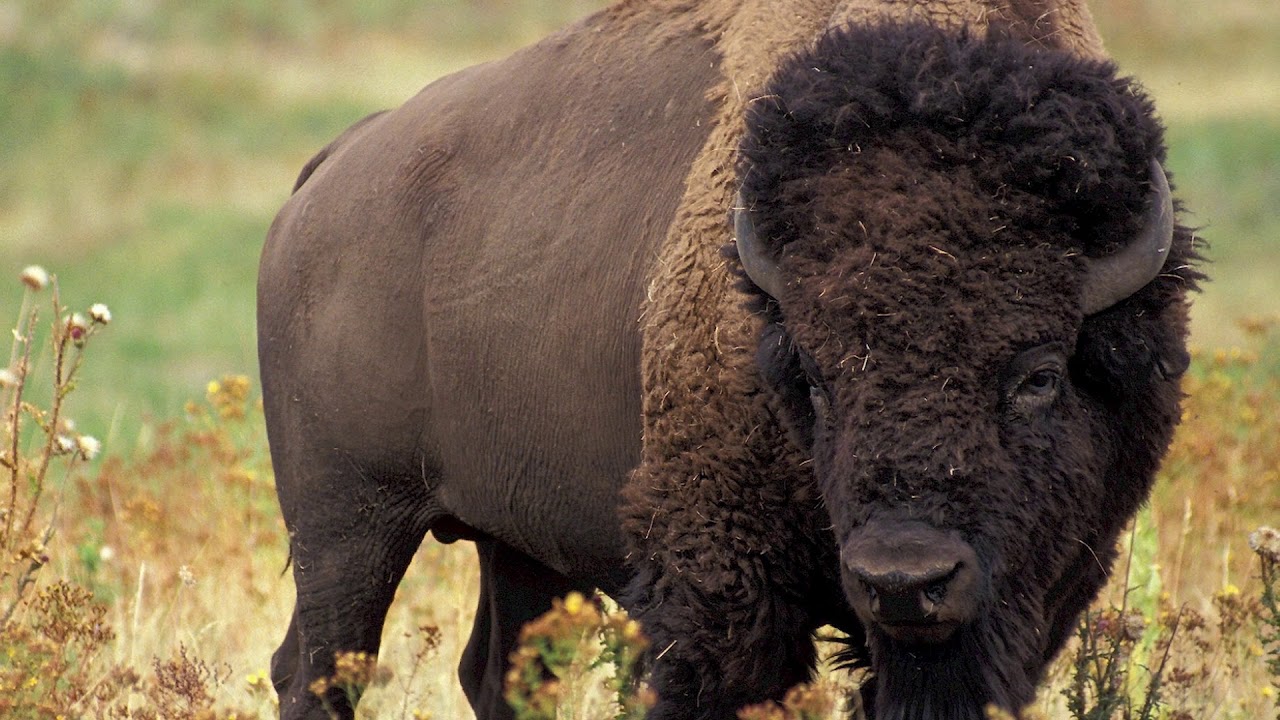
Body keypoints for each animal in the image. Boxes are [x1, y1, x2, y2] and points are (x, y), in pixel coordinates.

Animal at [258, 2, 1200, 719]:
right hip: (349, 521)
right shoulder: (719, 596)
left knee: (496, 674)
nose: (905, 579)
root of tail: (327, 175)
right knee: (316, 670)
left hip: (511, 537)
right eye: (813, 378)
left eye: (1039, 375)